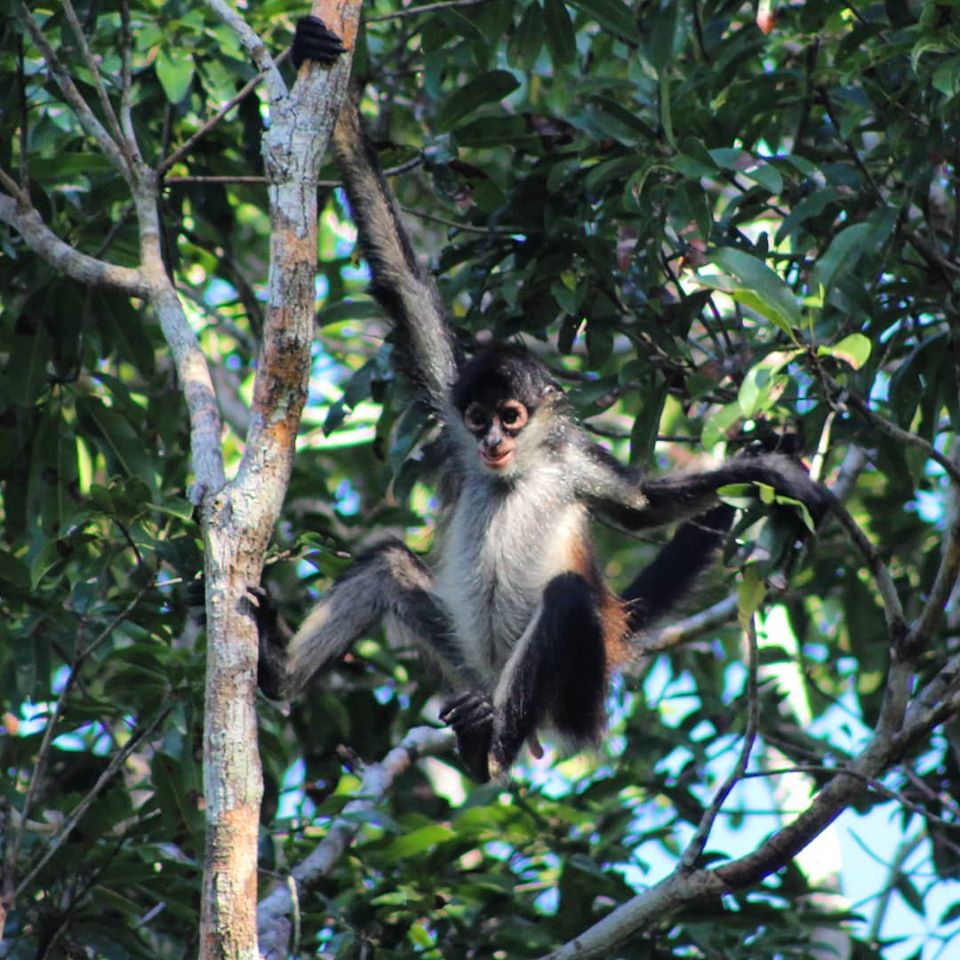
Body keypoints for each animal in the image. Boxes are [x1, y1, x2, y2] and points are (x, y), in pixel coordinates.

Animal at [260, 15, 832, 780]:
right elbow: (405, 282)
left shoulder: (570, 458)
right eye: (478, 419)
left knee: (565, 599)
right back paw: (277, 674)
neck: (518, 473)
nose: (492, 442)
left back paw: (491, 746)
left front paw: (771, 473)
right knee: (386, 565)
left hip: (573, 695)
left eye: (513, 417)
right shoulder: (451, 408)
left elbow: (644, 508)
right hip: (466, 662)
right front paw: (326, 72)